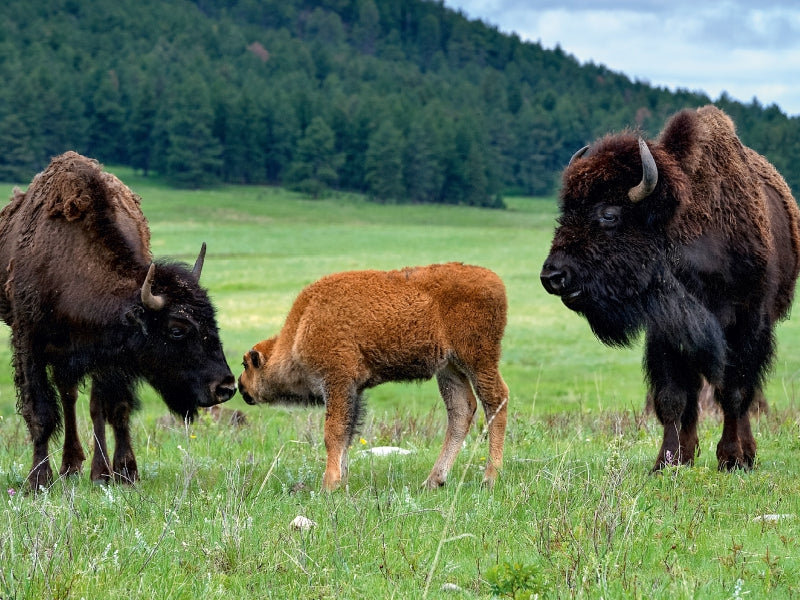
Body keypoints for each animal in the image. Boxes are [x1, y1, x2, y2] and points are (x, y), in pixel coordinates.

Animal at [0, 152, 236, 490]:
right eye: (177, 330)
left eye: (213, 320)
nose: (225, 387)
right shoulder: (29, 342)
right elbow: (41, 414)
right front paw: (38, 480)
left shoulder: (112, 354)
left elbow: (113, 409)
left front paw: (123, 473)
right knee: (68, 398)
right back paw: (69, 468)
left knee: (83, 401)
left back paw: (87, 469)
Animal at [238, 263, 509, 491]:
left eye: (245, 364)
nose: (240, 387)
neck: (302, 325)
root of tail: (495, 281)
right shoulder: (353, 391)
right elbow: (347, 434)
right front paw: (341, 480)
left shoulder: (337, 381)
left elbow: (334, 432)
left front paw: (329, 484)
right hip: (450, 369)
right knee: (462, 410)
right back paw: (434, 481)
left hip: (478, 360)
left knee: (496, 401)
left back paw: (489, 477)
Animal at [541, 106, 800, 471]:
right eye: (566, 212)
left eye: (609, 214)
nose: (553, 275)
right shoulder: (667, 331)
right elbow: (672, 397)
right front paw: (666, 462)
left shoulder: (748, 323)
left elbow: (734, 391)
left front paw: (732, 458)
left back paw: (745, 453)